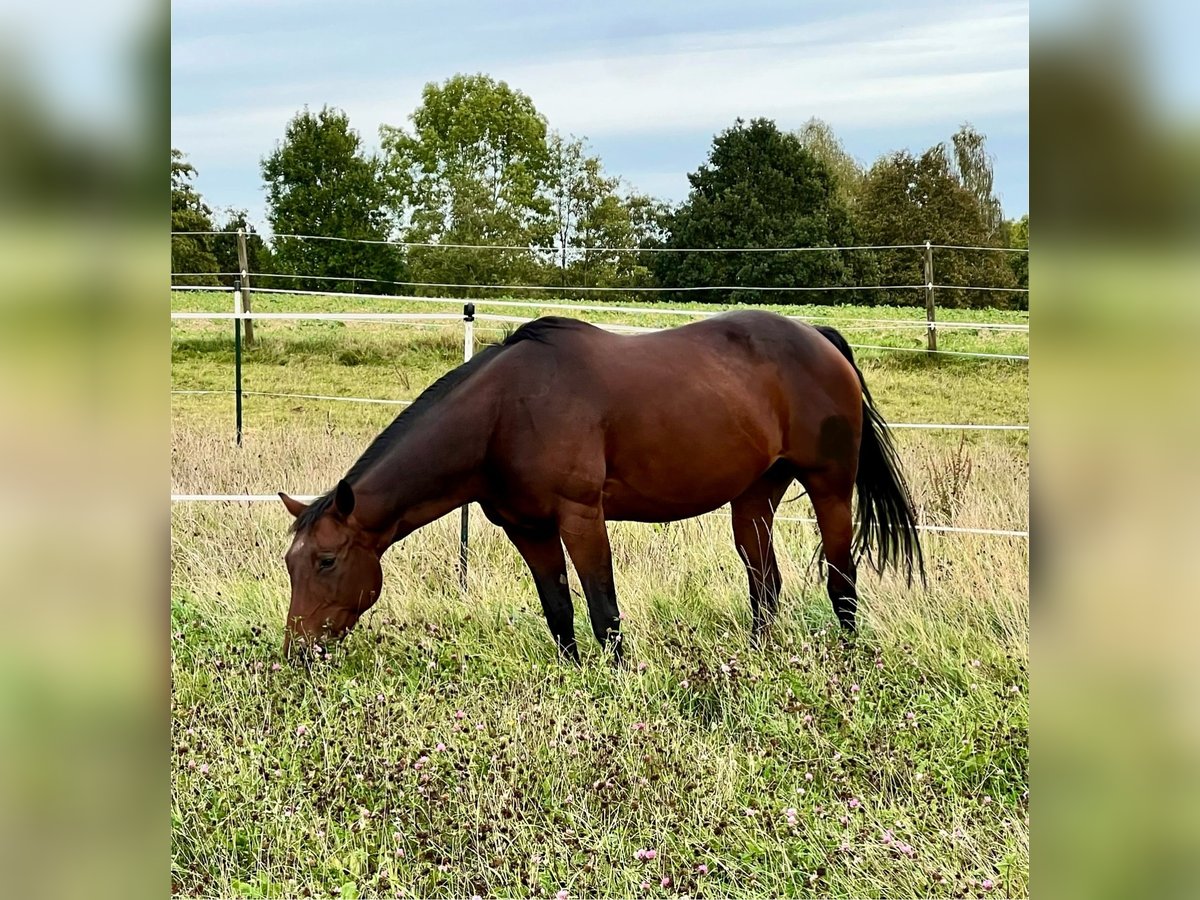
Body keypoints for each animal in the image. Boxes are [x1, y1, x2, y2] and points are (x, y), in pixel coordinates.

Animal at [276, 314, 921, 667]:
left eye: (327, 560)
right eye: (290, 563)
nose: (298, 651)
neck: (504, 414)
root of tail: (820, 337)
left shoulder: (581, 518)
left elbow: (603, 610)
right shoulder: (527, 529)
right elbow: (560, 612)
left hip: (830, 488)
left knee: (841, 581)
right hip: (754, 496)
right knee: (765, 583)